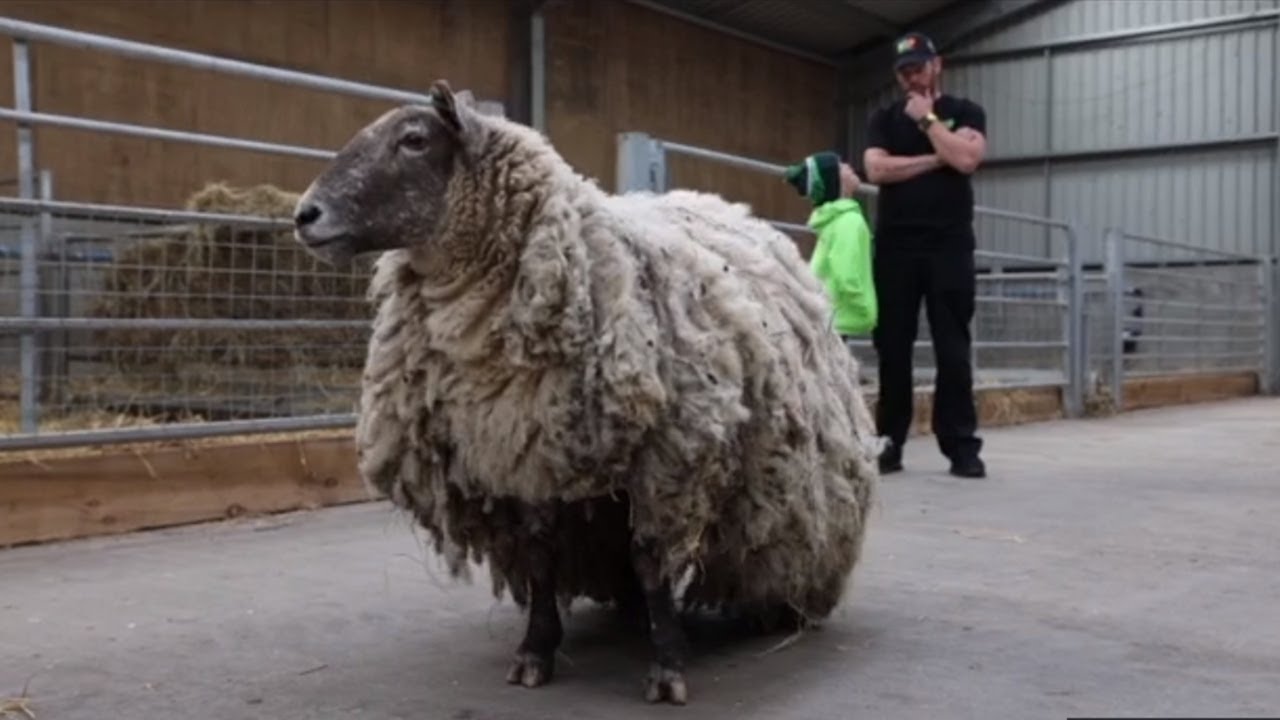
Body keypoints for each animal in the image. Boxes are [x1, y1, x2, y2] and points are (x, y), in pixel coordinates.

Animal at [291, 79, 881, 705]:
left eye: (413, 140)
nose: (304, 214)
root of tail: (734, 209)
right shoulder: (521, 451)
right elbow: (541, 557)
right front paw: (535, 651)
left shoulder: (667, 456)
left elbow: (651, 558)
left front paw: (667, 666)